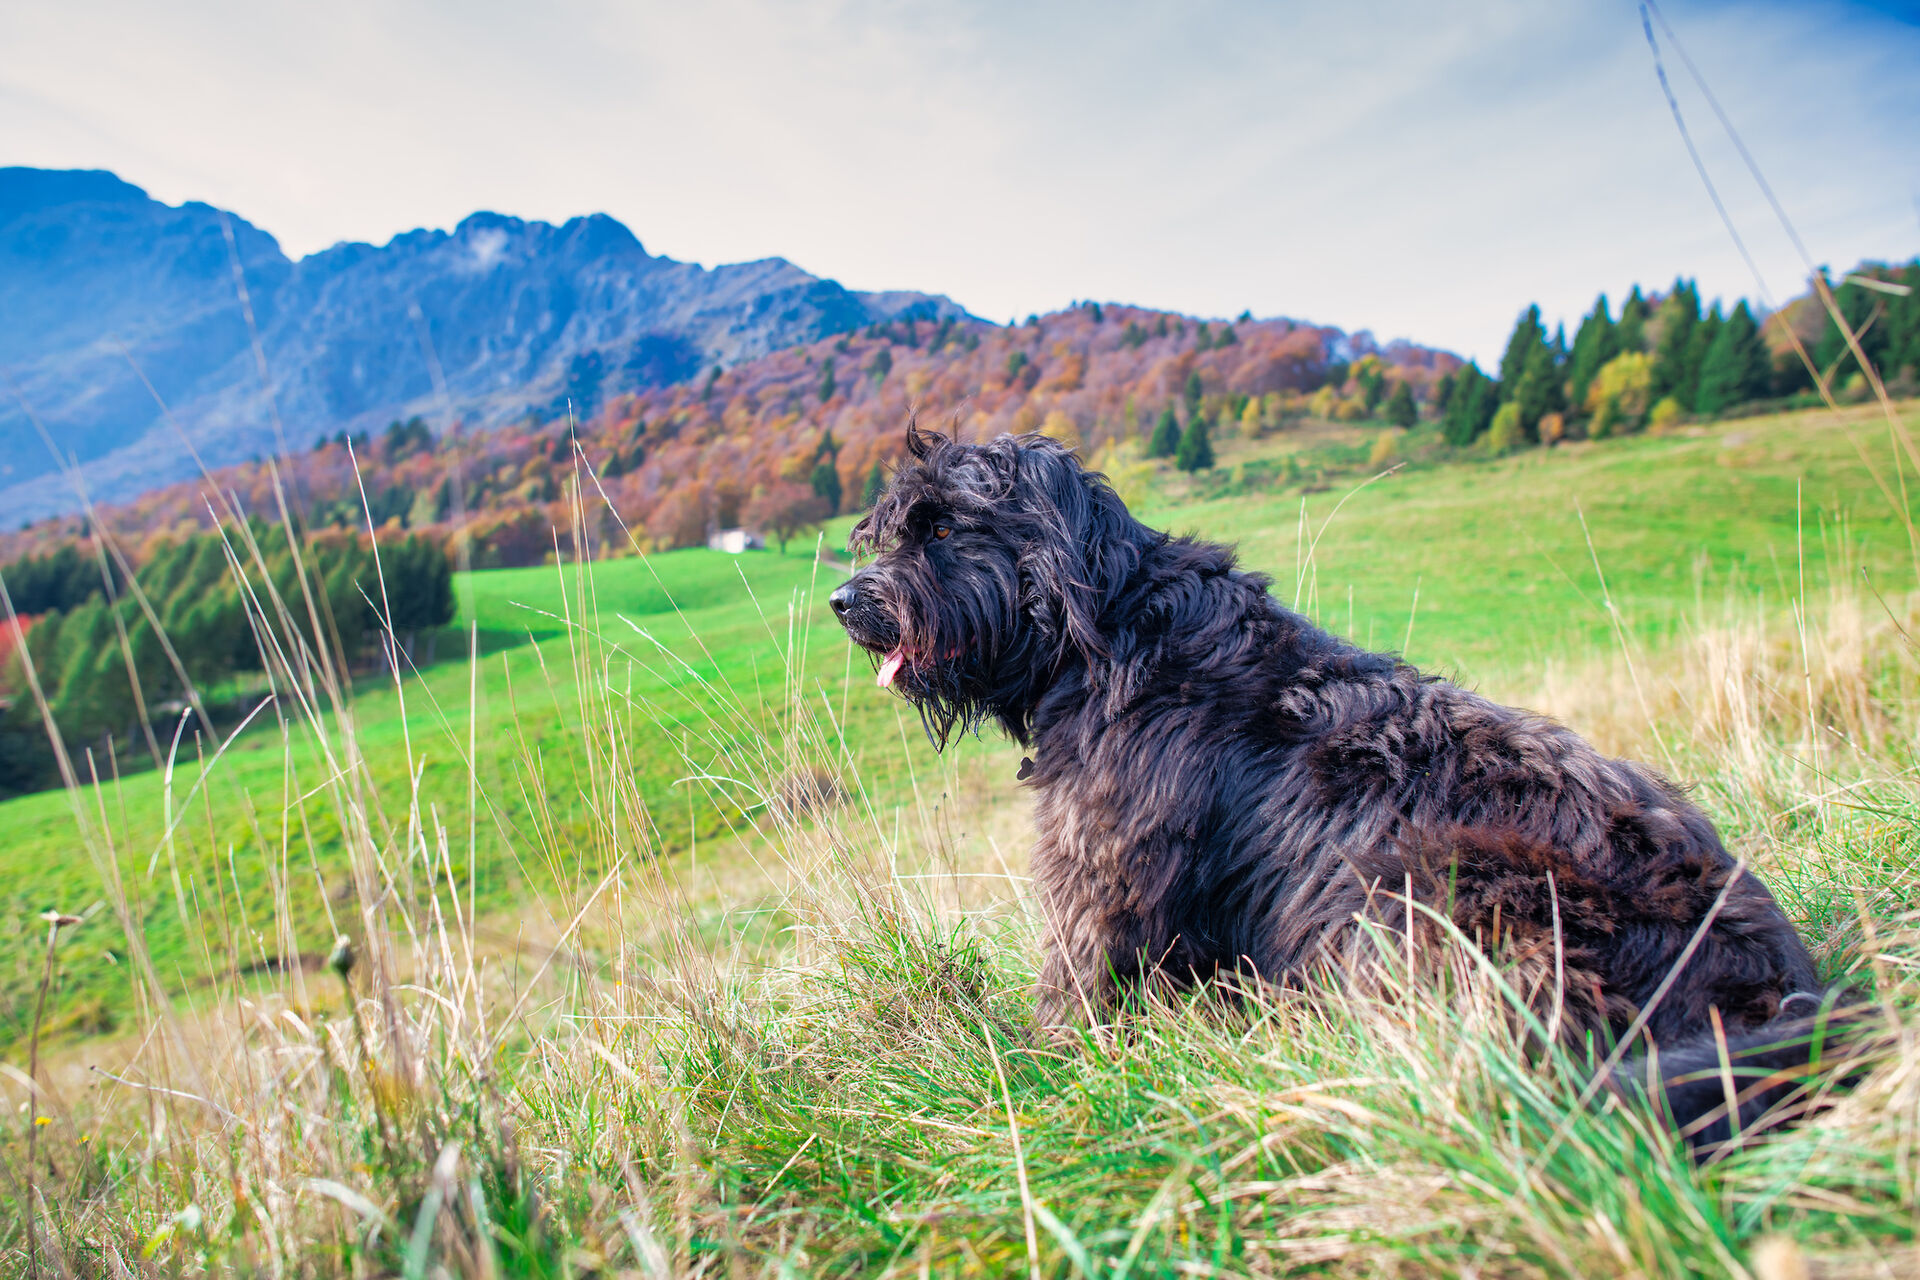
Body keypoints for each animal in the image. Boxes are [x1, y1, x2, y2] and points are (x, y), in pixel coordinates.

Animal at [840, 426, 1858, 1143]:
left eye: (942, 529)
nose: (845, 601)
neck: (1110, 631)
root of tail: (1772, 995)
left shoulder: (1105, 881)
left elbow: (1078, 986)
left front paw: (1032, 1074)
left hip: (1425, 889)